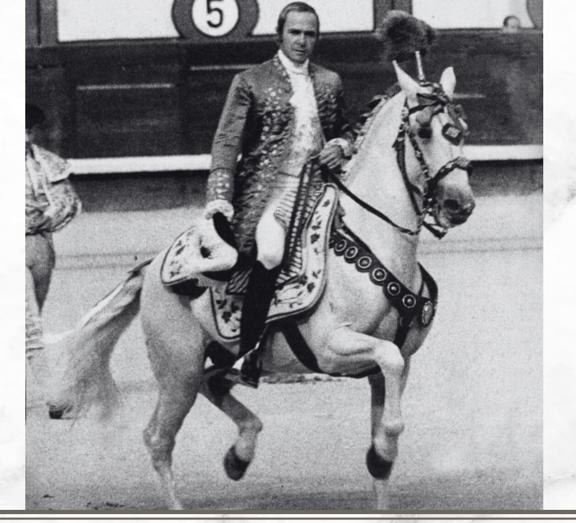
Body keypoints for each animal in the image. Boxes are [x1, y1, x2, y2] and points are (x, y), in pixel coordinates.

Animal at [50, 62, 472, 512]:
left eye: (461, 129)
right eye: (424, 131)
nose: (459, 204)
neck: (373, 240)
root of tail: (152, 267)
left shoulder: (397, 363)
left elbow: (382, 436)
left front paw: (380, 462)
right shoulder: (332, 347)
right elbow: (388, 398)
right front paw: (384, 448)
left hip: (211, 357)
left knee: (212, 383)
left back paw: (239, 456)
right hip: (176, 368)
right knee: (158, 437)